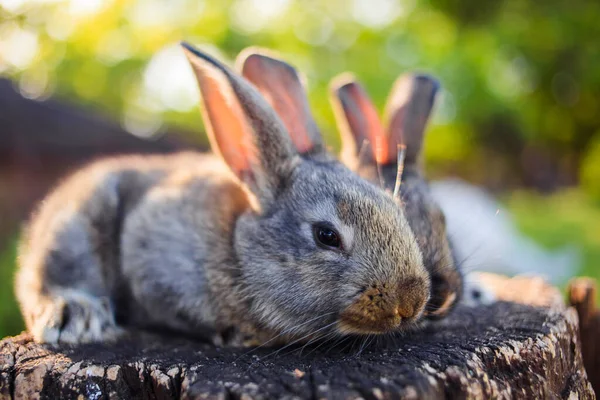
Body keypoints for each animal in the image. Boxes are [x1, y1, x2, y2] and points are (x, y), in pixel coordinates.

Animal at [16, 42, 432, 346]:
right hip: (75, 227)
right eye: (326, 235)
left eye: (397, 209)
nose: (410, 301)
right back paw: (76, 315)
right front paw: (235, 336)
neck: (237, 245)